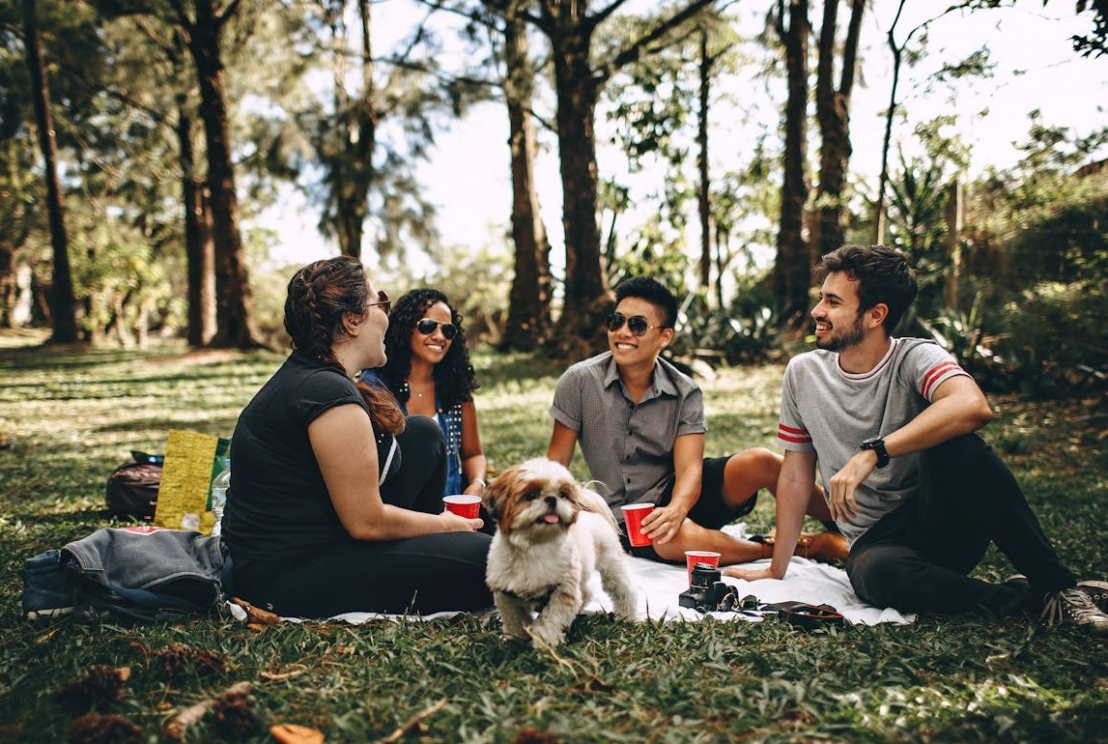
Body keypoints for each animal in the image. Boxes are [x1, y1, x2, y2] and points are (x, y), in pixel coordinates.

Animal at [480, 456, 638, 647]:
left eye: (562, 495)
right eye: (531, 495)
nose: (552, 499)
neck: (534, 546)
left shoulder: (562, 591)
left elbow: (550, 619)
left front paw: (545, 641)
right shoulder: (506, 594)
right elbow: (514, 619)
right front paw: (514, 638)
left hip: (611, 565)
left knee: (624, 590)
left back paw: (628, 617)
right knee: (586, 592)